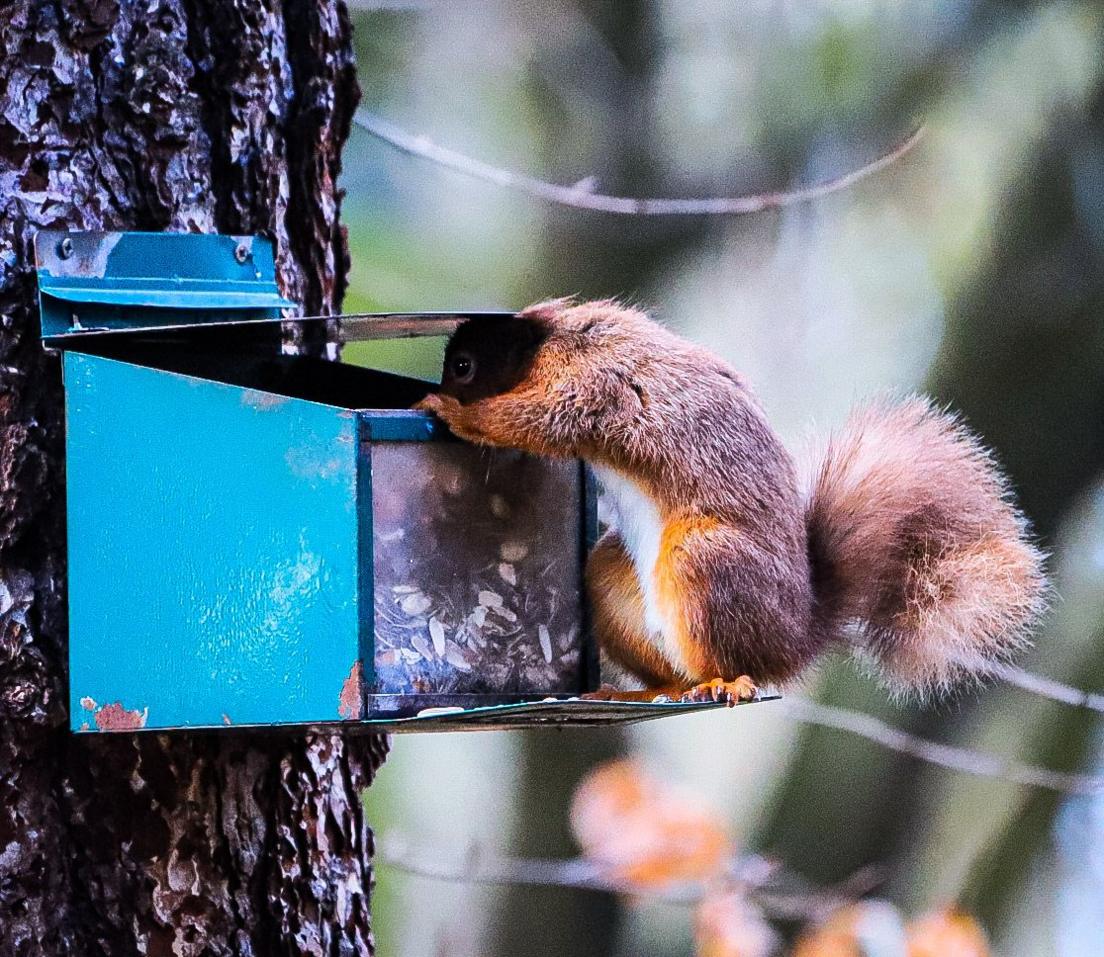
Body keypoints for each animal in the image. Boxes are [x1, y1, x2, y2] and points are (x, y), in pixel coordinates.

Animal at [415, 300, 1042, 702]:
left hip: (705, 559)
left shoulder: (596, 384)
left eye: (464, 366)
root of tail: (794, 639)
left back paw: (726, 682)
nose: (441, 387)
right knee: (676, 672)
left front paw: (454, 412)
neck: (545, 342)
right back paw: (650, 691)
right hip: (612, 574)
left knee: (733, 665)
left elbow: (541, 419)